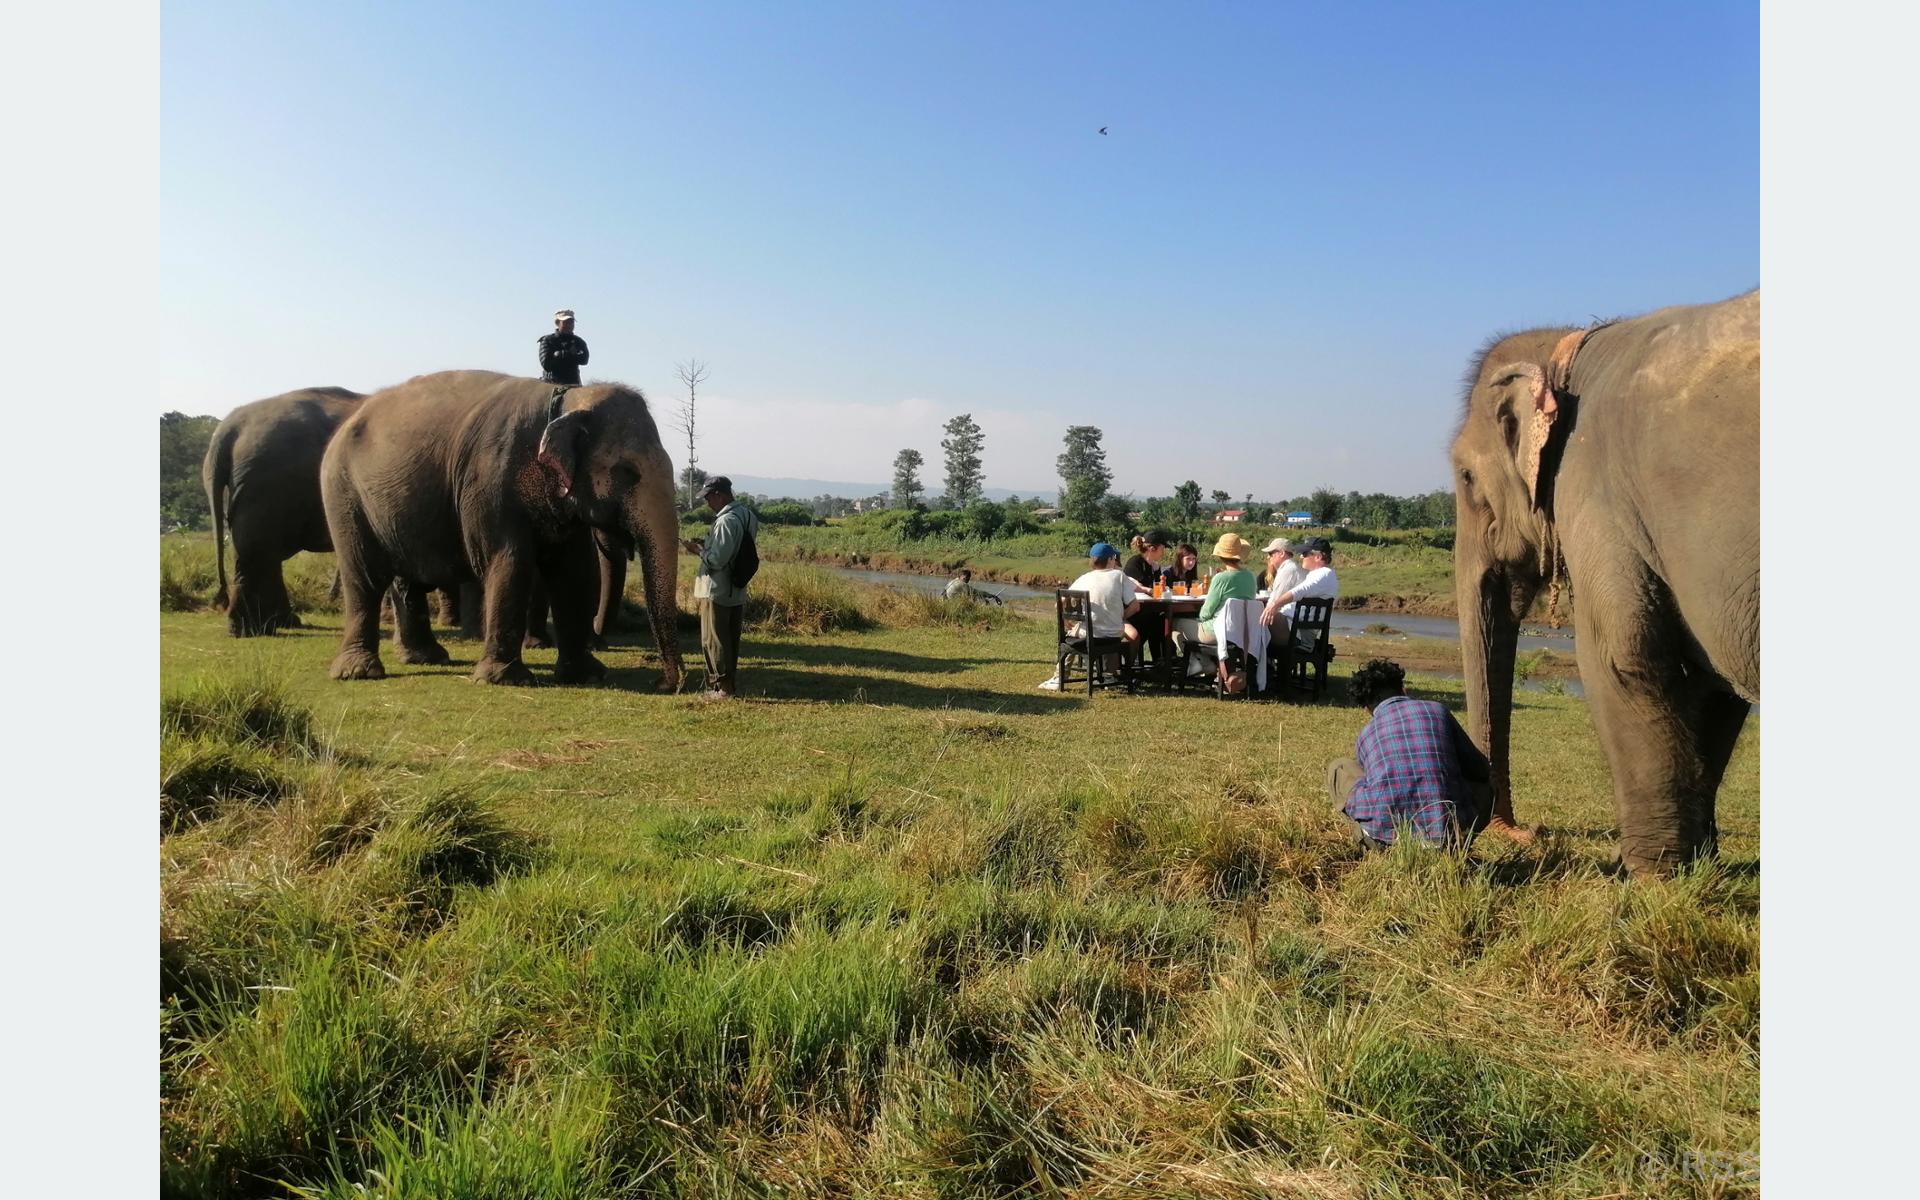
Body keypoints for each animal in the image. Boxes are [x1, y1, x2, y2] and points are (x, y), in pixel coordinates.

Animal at [201, 385, 362, 637]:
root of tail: (228, 428)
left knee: (262, 551)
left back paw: (275, 624)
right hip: (268, 484)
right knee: (258, 551)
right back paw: (250, 629)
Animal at [312, 370, 675, 687]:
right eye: (628, 472)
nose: (662, 683)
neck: (567, 398)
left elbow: (573, 572)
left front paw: (587, 676)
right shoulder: (490, 480)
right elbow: (509, 561)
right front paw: (505, 680)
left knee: (406, 580)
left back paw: (426, 658)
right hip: (343, 495)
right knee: (364, 578)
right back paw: (359, 672)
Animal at [1451, 286, 1758, 875]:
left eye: (1466, 477)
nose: (1523, 832)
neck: (1568, 352)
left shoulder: (1595, 488)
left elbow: (1622, 656)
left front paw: (1649, 877)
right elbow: (1711, 682)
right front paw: (1695, 867)